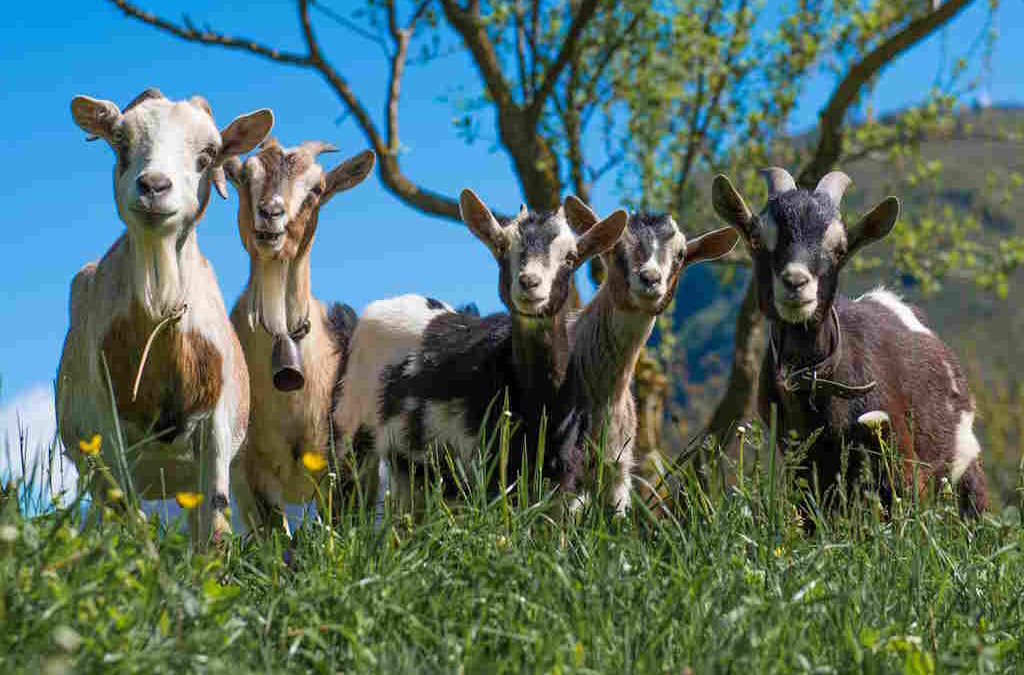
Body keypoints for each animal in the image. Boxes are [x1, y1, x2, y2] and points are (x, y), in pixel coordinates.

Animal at [55, 89, 272, 544]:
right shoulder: (108, 428)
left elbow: (215, 526)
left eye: (207, 154)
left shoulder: (218, 430)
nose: (154, 185)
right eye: (120, 141)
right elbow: (131, 521)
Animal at [708, 169, 987, 518]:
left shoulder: (901, 462)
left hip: (963, 462)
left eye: (839, 250)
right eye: (758, 240)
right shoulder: (803, 467)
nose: (796, 282)